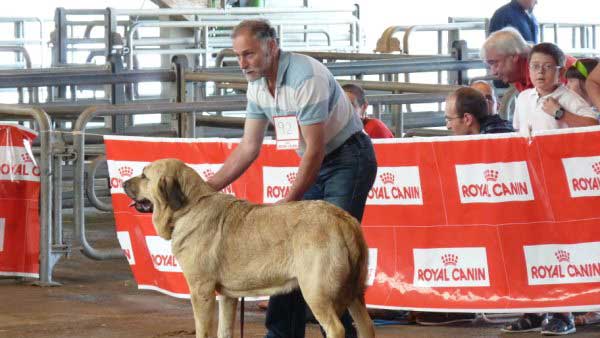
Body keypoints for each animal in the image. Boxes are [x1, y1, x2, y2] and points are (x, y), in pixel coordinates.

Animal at [122, 159, 376, 338]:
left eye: (144, 176)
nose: (123, 183)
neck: (189, 207)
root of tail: (344, 220)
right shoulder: (227, 295)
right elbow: (224, 330)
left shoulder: (201, 290)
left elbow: (203, 330)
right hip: (354, 294)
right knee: (367, 326)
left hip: (317, 293)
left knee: (336, 328)